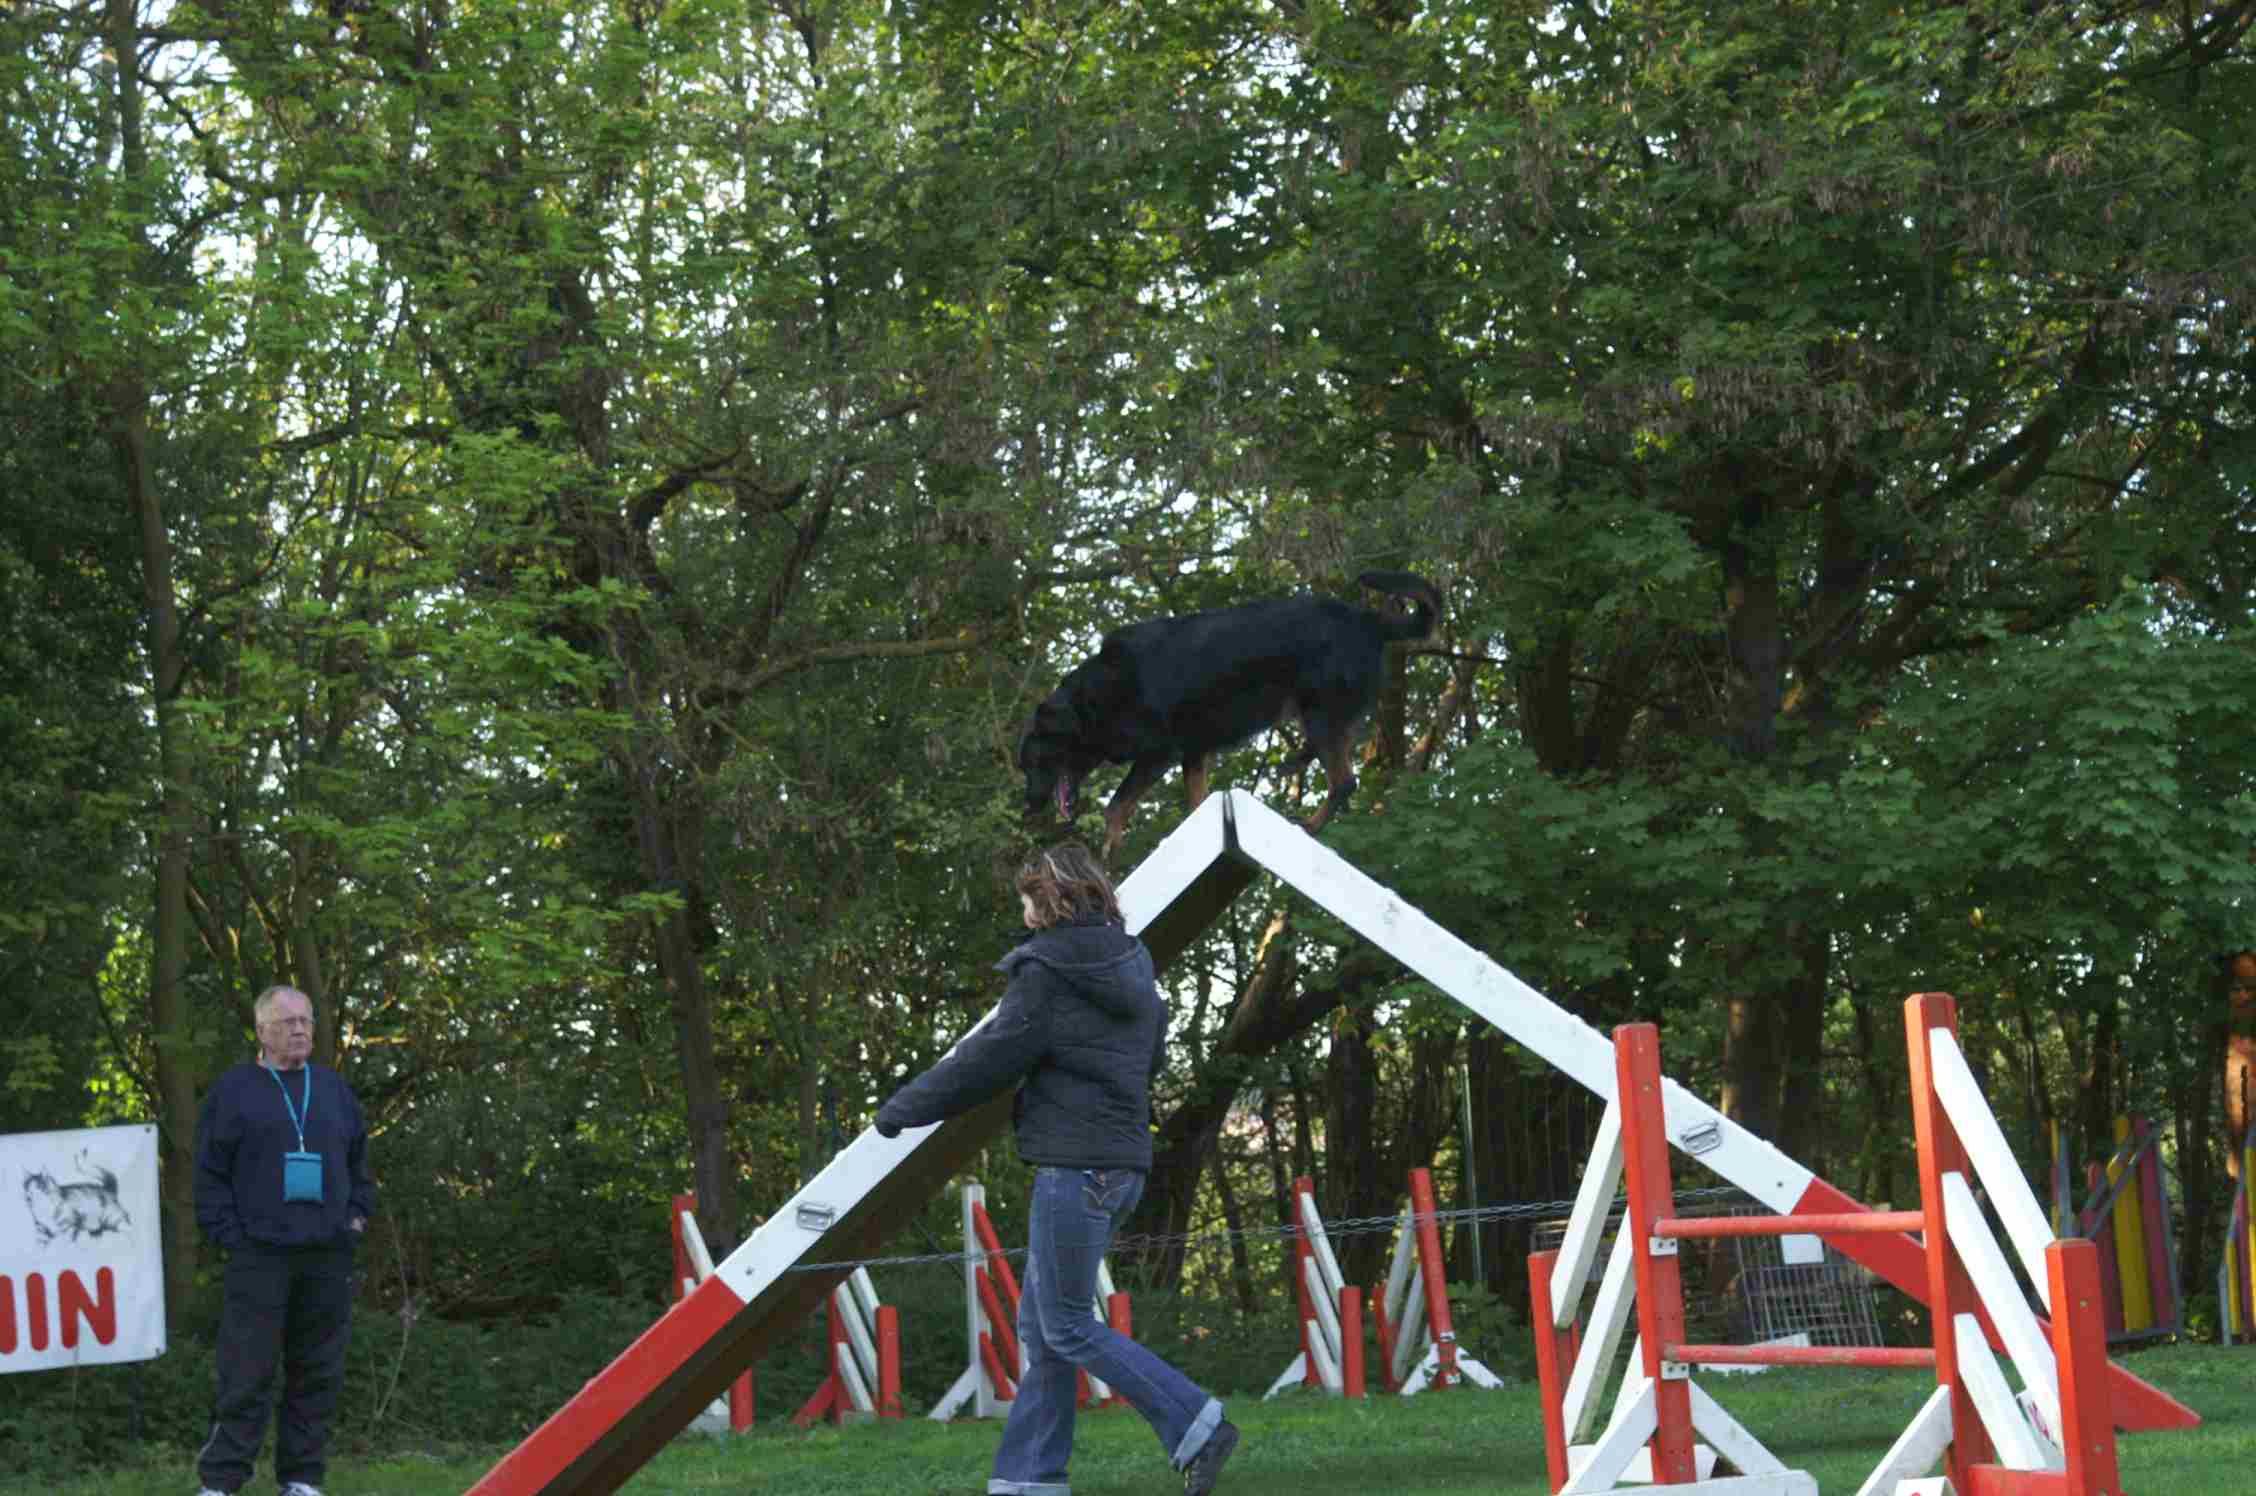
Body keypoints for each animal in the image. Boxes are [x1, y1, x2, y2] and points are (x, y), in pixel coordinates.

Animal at [1019, 571, 1441, 857]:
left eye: (1036, 762)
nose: (1030, 807)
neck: (1093, 700)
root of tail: (1369, 620)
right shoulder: (1193, 752)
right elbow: (1196, 802)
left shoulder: (1160, 752)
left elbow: (1116, 805)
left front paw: (1109, 848)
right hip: (1321, 714)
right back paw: (1295, 764)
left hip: (1321, 713)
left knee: (1344, 782)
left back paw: (1308, 823)